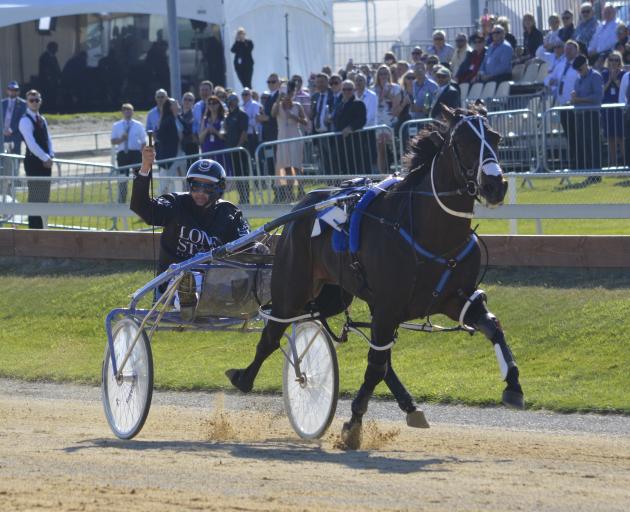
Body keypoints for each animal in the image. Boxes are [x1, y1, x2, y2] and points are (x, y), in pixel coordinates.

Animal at [225, 104, 524, 448]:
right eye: (462, 141)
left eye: (495, 137)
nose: (495, 185)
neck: (431, 232)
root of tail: (305, 203)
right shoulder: (387, 306)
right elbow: (375, 367)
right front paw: (353, 425)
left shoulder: (452, 299)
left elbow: (493, 327)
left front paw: (513, 386)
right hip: (293, 285)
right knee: (273, 332)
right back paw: (244, 377)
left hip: (336, 296)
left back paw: (411, 407)